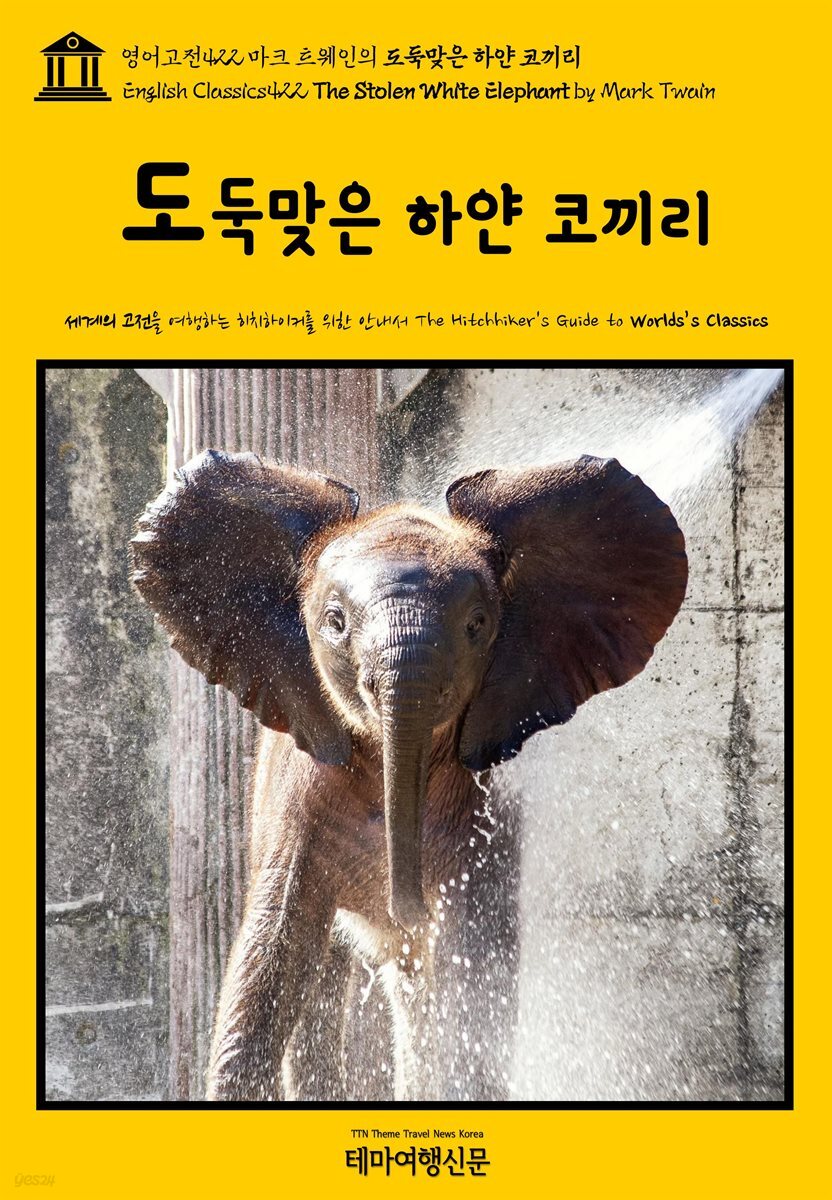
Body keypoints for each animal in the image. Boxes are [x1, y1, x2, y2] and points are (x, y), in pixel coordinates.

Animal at [131, 448, 687, 1102]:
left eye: (477, 625)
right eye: (336, 622)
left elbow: (469, 980)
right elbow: (270, 955)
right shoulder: (299, 799)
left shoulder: (481, 818)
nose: (408, 907)